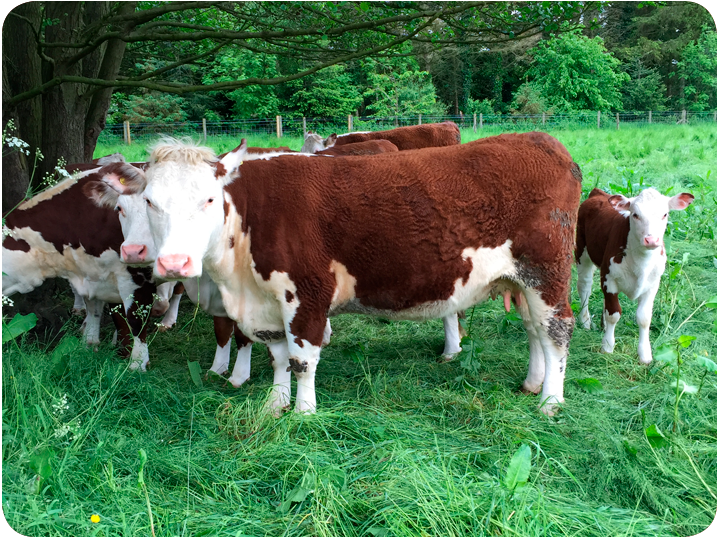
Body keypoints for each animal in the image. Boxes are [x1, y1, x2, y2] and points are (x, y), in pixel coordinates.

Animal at [2, 167, 158, 370]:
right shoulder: (92, 275)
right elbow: (94, 309)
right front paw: (89, 344)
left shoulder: (137, 276)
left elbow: (136, 320)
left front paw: (137, 365)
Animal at [102, 132, 582, 416]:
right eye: (150, 201)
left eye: (207, 199)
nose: (174, 263)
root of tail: (542, 141)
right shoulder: (268, 302)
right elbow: (278, 356)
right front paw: (275, 403)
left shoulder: (307, 294)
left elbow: (301, 359)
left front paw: (303, 411)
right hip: (522, 281)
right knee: (534, 329)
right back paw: (533, 382)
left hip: (546, 273)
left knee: (556, 330)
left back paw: (551, 399)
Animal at [575, 187, 694, 363]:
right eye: (635, 214)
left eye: (665, 214)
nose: (651, 240)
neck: (641, 262)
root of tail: (598, 192)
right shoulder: (609, 279)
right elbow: (614, 313)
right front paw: (607, 346)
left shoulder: (652, 285)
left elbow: (644, 318)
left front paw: (645, 355)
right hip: (582, 251)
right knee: (585, 286)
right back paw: (585, 321)